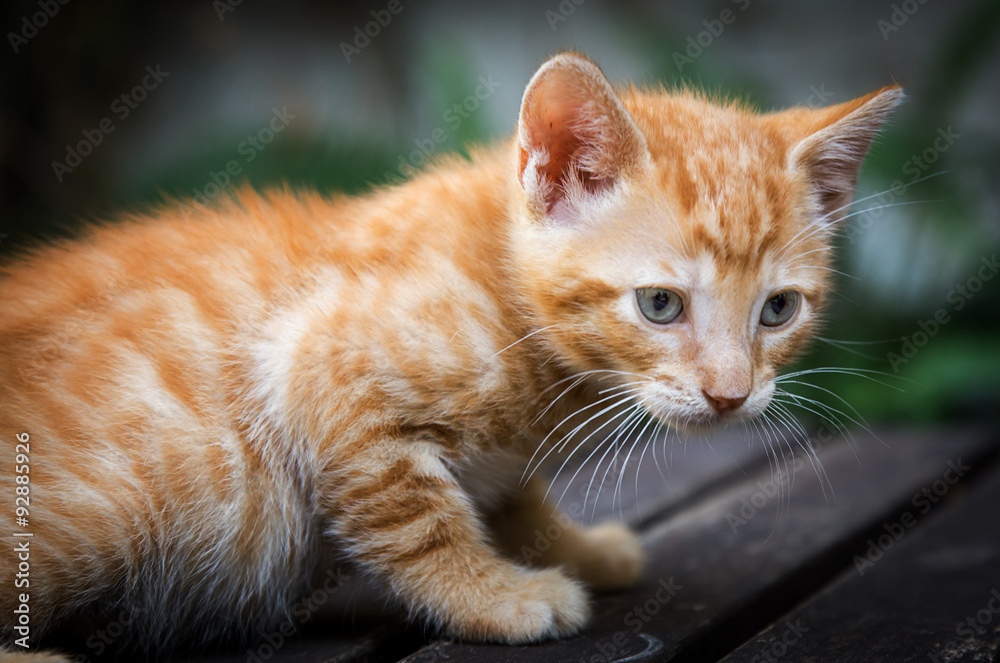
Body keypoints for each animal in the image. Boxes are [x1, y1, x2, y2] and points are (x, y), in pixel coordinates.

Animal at [0, 53, 904, 660]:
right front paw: (496, 596)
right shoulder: (314, 366)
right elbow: (417, 517)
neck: (500, 287)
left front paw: (572, 546)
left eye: (778, 309)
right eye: (659, 304)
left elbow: (513, 496)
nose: (730, 395)